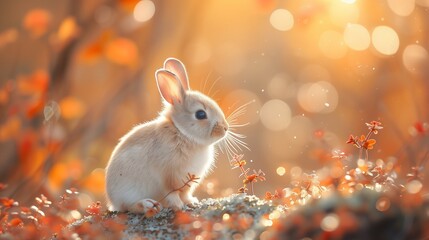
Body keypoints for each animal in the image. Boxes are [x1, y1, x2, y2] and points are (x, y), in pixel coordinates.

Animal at [105, 58, 229, 214]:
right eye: (200, 114)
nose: (225, 128)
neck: (182, 133)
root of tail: (112, 201)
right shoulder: (169, 177)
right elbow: (172, 193)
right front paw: (178, 206)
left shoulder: (188, 182)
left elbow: (185, 194)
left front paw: (192, 203)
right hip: (127, 191)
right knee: (128, 206)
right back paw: (147, 204)